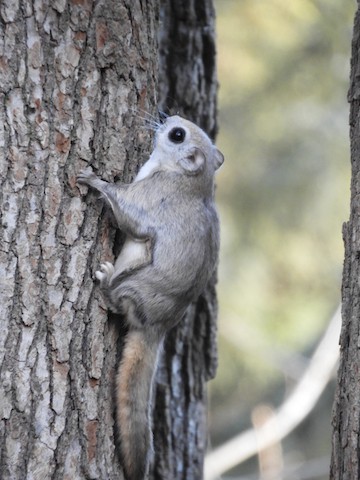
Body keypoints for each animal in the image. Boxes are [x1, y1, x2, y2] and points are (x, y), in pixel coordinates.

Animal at [77, 115, 224, 480]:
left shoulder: (148, 198)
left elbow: (125, 208)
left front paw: (94, 180)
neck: (187, 179)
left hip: (133, 285)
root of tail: (157, 328)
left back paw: (105, 286)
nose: (169, 117)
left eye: (177, 135)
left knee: (119, 301)